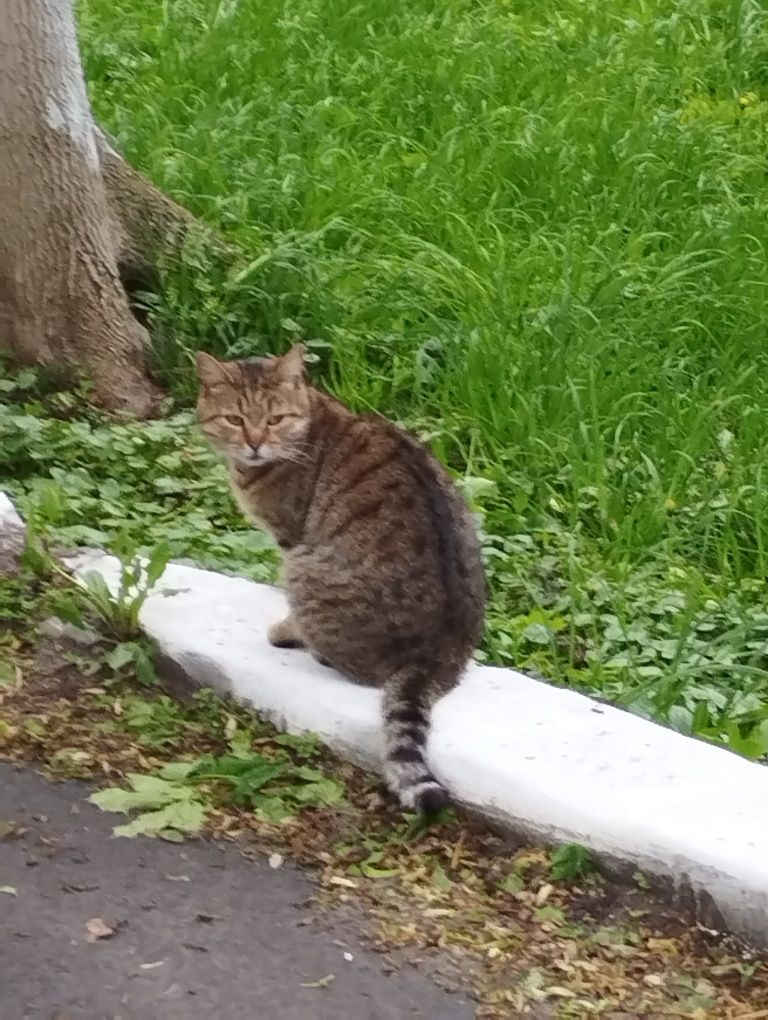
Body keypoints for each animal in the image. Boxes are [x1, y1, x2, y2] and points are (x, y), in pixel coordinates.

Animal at [197, 342, 485, 811]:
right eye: (235, 419)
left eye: (274, 419)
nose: (255, 444)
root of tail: (436, 656)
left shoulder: (290, 539)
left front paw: (286, 629)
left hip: (304, 567)